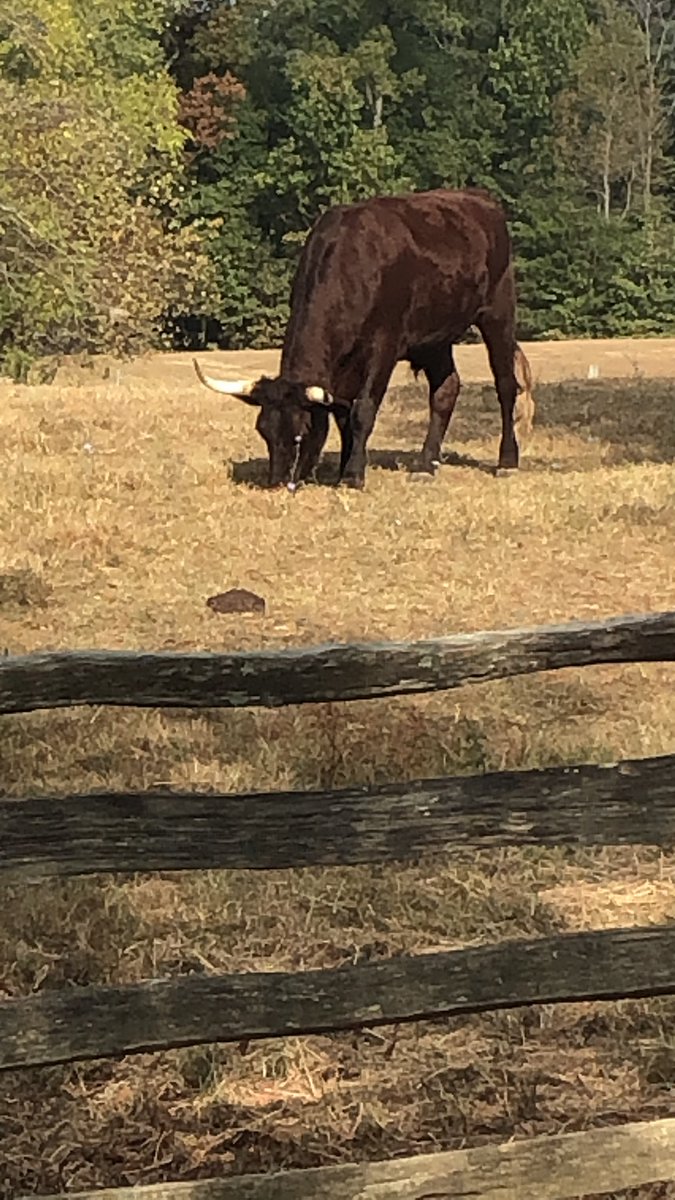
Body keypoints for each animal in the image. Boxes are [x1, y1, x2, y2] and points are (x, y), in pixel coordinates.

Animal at [194, 188, 532, 490]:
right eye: (263, 430)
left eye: (301, 430)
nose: (277, 483)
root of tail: (480, 199)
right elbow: (343, 415)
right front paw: (344, 468)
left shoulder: (384, 347)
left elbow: (363, 409)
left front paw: (354, 475)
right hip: (434, 338)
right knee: (445, 390)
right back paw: (426, 464)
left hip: (498, 312)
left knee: (506, 385)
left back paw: (506, 462)